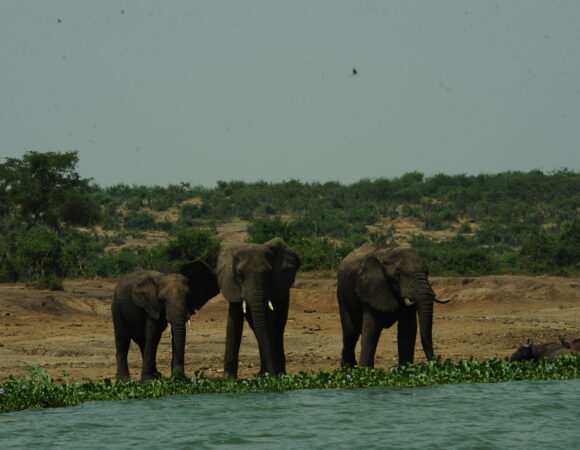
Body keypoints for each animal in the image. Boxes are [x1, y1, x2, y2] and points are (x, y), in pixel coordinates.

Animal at [215, 237, 302, 378]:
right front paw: (228, 378)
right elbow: (234, 322)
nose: (271, 374)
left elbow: (269, 321)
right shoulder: (231, 283)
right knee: (257, 329)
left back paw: (279, 373)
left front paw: (267, 375)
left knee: (278, 328)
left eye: (269, 273)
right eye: (240, 274)